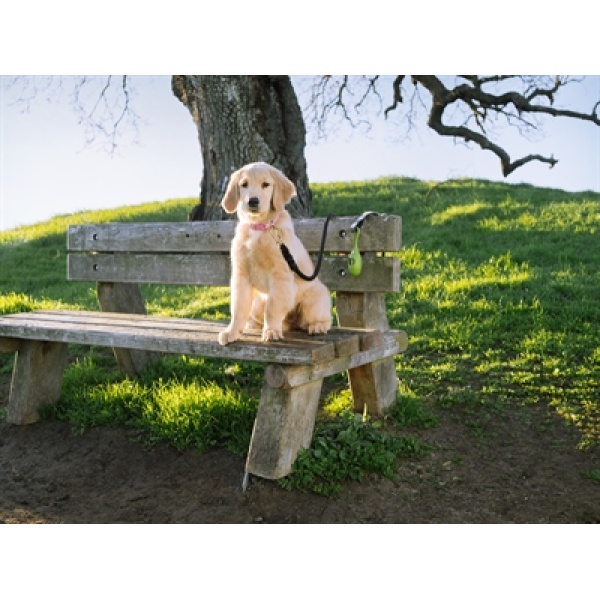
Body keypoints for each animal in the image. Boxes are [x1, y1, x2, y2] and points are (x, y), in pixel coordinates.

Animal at [218, 163, 332, 346]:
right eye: (244, 185)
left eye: (266, 184)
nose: (253, 201)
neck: (259, 227)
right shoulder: (241, 275)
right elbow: (238, 308)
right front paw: (232, 332)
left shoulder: (280, 275)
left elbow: (272, 308)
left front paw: (271, 331)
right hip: (258, 303)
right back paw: (253, 325)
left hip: (314, 301)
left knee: (321, 318)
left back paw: (317, 326)